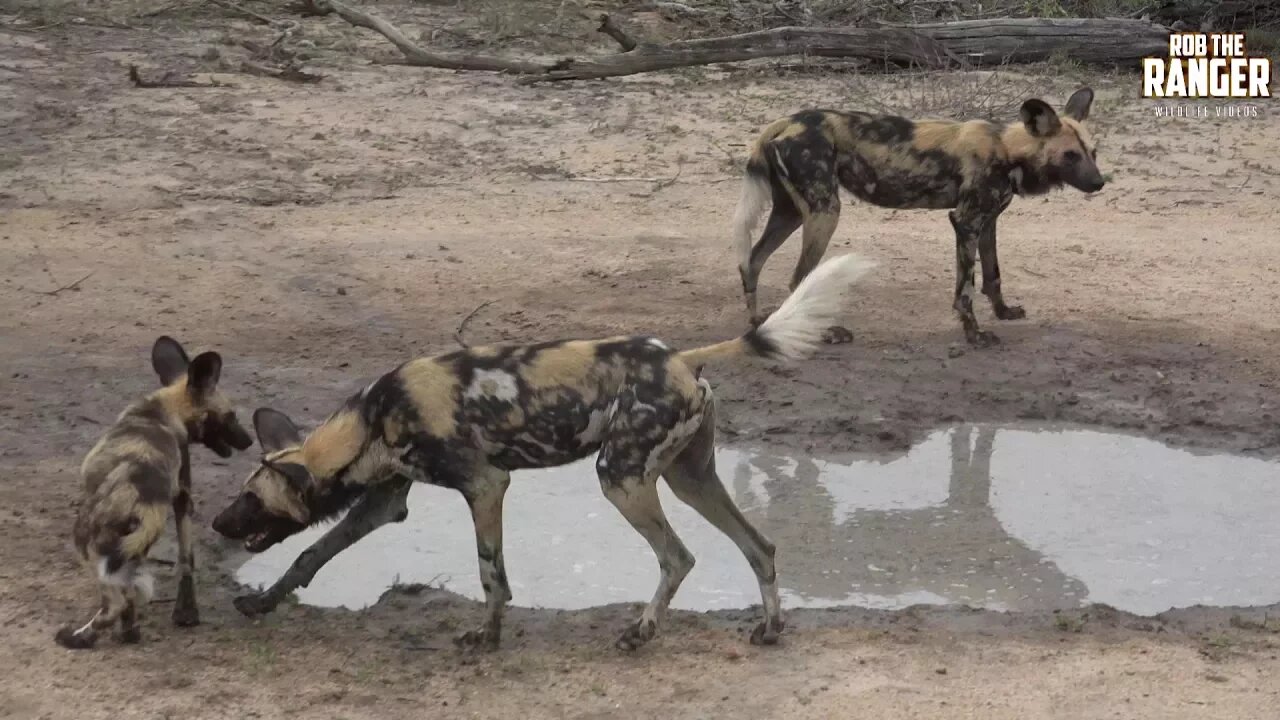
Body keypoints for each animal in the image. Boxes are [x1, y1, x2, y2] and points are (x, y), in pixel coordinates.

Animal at [55, 333, 252, 648]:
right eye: (231, 416)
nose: (248, 440)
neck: (163, 409)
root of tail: (138, 501)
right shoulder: (183, 495)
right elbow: (186, 560)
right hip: (132, 548)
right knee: (135, 592)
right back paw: (132, 632)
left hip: (85, 541)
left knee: (114, 603)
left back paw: (78, 637)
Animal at [209, 253, 875, 650]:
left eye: (250, 500)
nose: (216, 524)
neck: (373, 419)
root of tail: (681, 357)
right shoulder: (383, 504)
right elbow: (308, 557)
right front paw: (261, 602)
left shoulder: (485, 487)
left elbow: (489, 575)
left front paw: (486, 638)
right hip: (688, 479)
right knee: (758, 546)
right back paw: (769, 626)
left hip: (620, 478)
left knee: (678, 557)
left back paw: (642, 630)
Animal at [737, 87, 1105, 345]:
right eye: (1070, 156)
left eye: (1093, 153)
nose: (1100, 182)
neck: (1006, 149)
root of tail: (786, 121)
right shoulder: (966, 222)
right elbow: (966, 291)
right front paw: (975, 336)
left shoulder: (987, 222)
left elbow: (993, 275)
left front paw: (1003, 312)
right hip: (825, 212)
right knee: (798, 276)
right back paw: (826, 332)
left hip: (792, 213)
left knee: (752, 262)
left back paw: (758, 324)